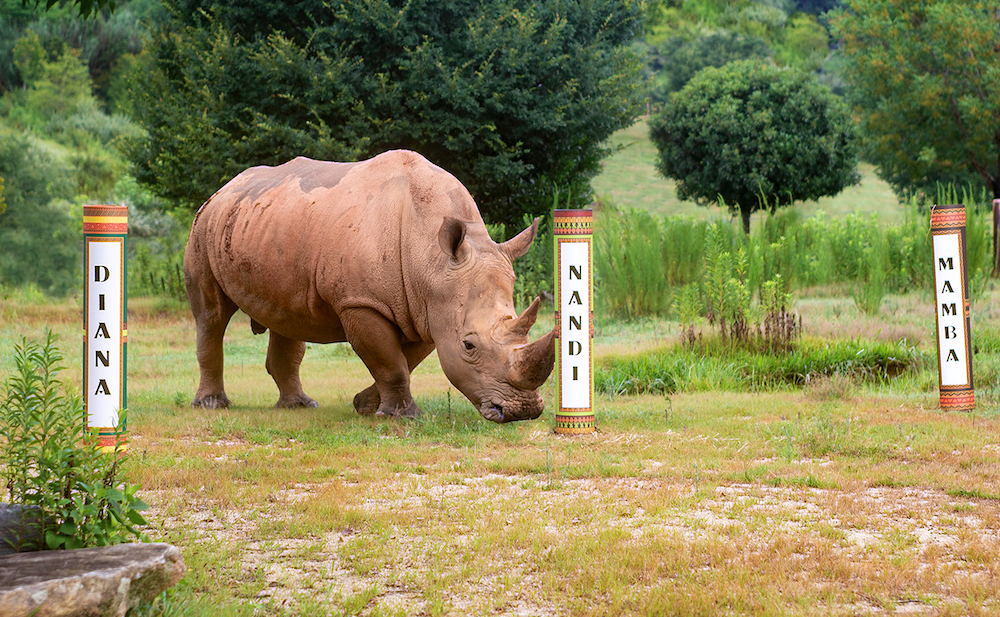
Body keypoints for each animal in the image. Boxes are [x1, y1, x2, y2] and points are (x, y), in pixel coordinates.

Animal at [184, 149, 555, 422]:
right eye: (469, 345)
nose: (522, 411)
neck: (433, 261)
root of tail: (225, 188)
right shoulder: (361, 301)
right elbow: (391, 363)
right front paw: (402, 417)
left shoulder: (427, 308)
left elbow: (404, 361)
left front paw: (364, 406)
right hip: (204, 225)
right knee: (211, 316)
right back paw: (212, 405)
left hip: (266, 222)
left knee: (286, 318)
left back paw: (299, 405)